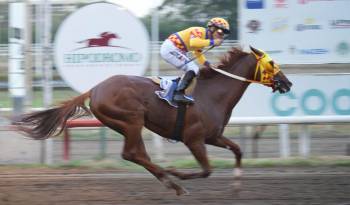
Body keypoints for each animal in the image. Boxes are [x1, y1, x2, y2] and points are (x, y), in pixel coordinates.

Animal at [13, 46, 292, 195]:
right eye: (272, 62)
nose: (288, 83)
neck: (212, 94)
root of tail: (95, 89)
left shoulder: (213, 136)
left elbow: (238, 150)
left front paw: (236, 186)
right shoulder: (194, 139)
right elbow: (206, 170)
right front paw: (178, 172)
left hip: (125, 125)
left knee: (138, 154)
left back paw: (168, 181)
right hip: (132, 119)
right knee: (131, 154)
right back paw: (172, 181)